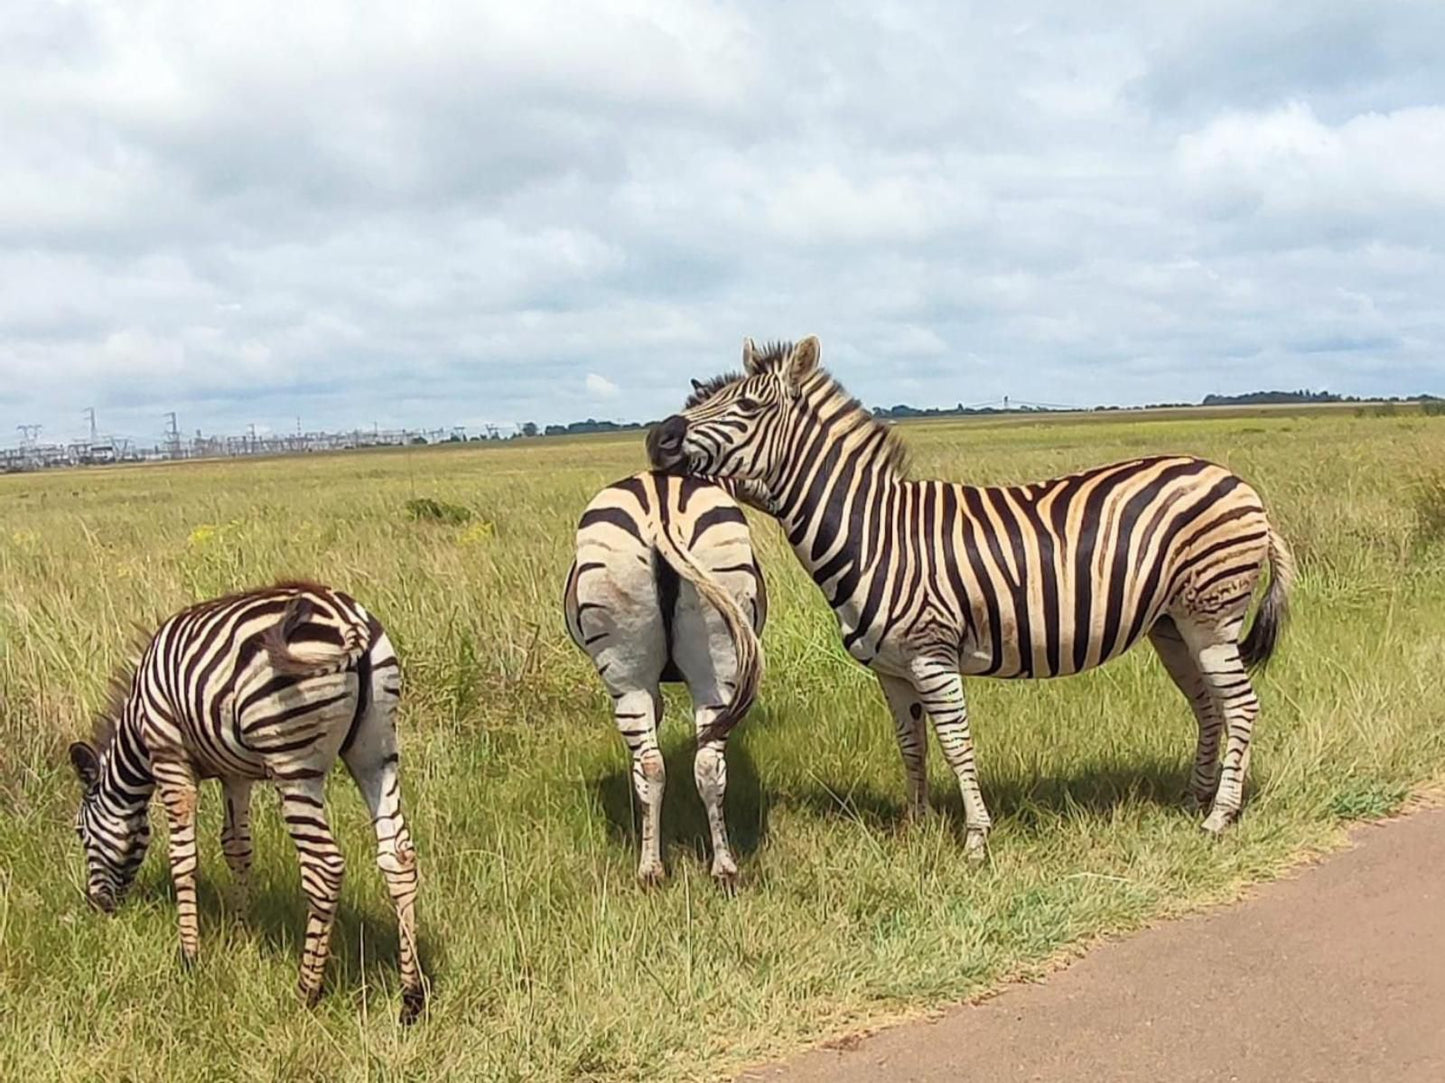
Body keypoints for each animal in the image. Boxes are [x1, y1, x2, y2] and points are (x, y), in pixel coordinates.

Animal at [67, 578, 424, 1017]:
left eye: (81, 833)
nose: (97, 905)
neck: (137, 729)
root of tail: (351, 625)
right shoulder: (235, 773)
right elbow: (237, 848)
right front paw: (242, 935)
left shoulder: (170, 758)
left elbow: (183, 857)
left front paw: (189, 955)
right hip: (376, 751)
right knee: (398, 857)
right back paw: (411, 997)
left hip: (293, 761)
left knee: (324, 867)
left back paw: (307, 991)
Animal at [563, 465, 768, 884]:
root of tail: (662, 514)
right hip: (718, 659)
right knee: (706, 765)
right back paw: (723, 866)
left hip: (626, 673)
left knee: (651, 762)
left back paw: (650, 867)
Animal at [650, 334, 1294, 855]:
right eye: (698, 399)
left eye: (747, 406)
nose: (658, 438)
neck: (874, 532)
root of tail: (1240, 484)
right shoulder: (892, 670)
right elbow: (911, 746)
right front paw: (914, 828)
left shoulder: (933, 656)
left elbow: (957, 744)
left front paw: (977, 839)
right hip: (1171, 626)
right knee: (1209, 705)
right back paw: (1194, 798)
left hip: (1210, 616)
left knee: (1241, 705)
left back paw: (1220, 816)